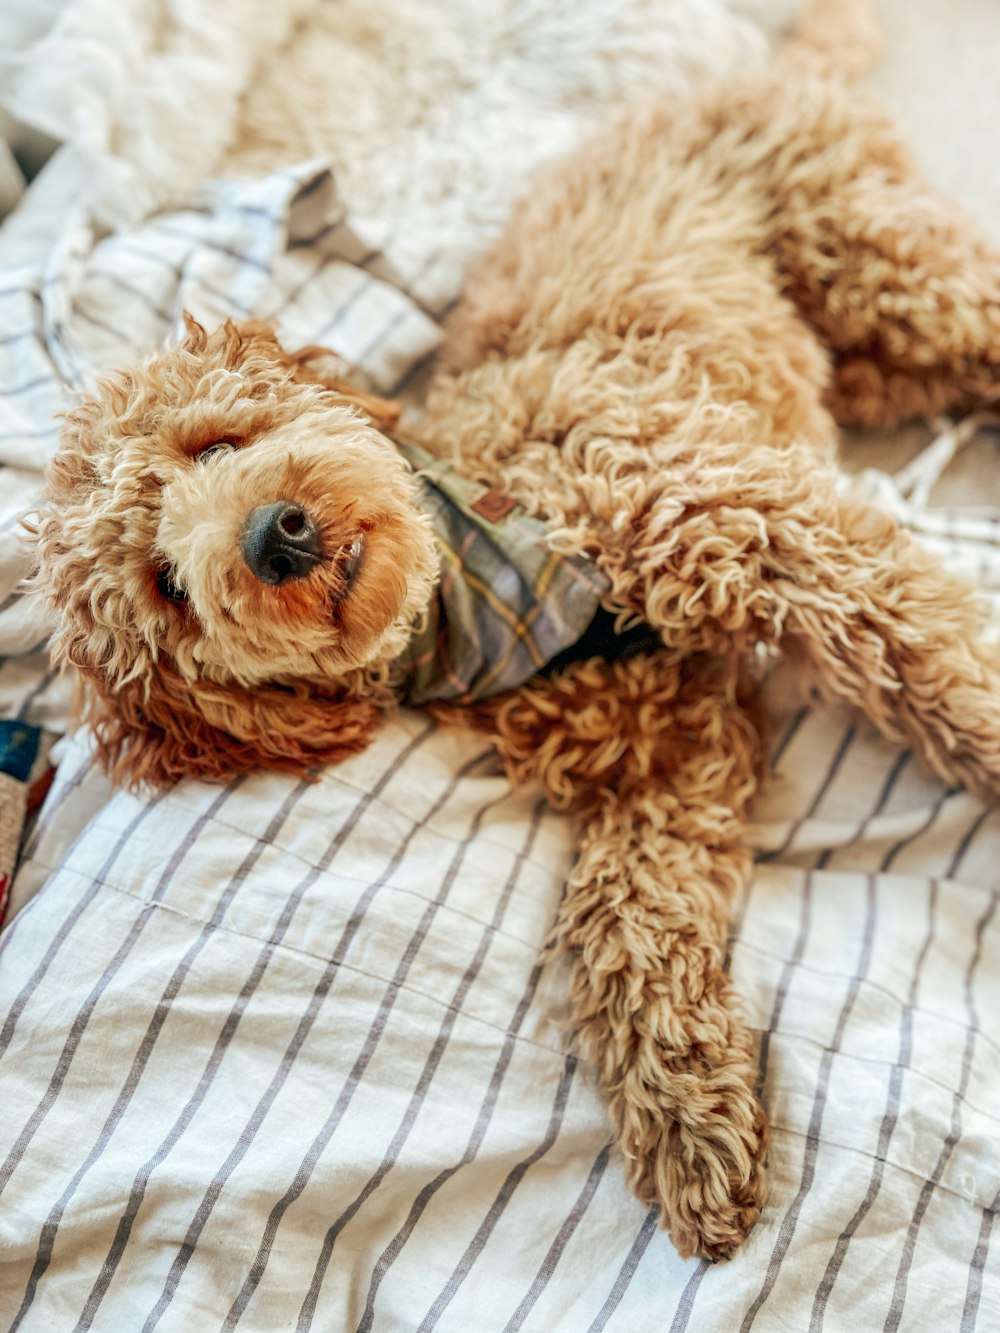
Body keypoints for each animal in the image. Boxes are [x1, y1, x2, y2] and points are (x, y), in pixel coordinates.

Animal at [25, 0, 1000, 1258]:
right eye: (166, 588)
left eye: (216, 444)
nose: (276, 538)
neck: (481, 585)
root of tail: (747, 81)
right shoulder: (665, 759)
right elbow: (625, 922)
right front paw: (689, 1120)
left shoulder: (749, 521)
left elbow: (932, 659)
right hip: (870, 351)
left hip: (876, 263)